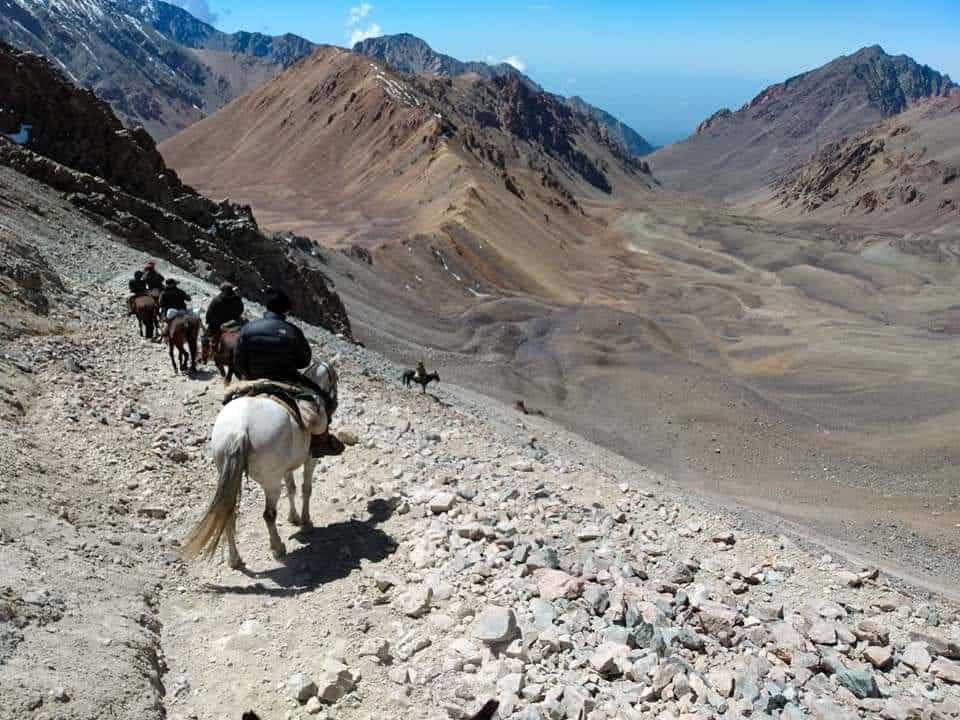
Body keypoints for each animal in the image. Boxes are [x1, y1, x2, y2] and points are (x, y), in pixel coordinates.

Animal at [180, 358, 342, 572]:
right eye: (335, 378)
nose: (335, 402)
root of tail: (239, 428)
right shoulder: (310, 459)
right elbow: (306, 488)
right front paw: (306, 523)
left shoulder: (286, 467)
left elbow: (292, 488)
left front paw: (294, 518)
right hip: (271, 482)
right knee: (268, 515)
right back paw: (277, 547)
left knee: (228, 514)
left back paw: (235, 559)